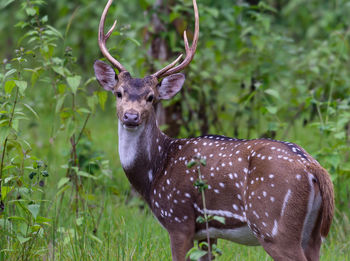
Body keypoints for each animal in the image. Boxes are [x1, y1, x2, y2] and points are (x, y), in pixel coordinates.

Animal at [94, 0, 334, 260]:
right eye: (119, 93)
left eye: (151, 97)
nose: (131, 116)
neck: (154, 171)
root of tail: (313, 167)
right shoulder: (206, 231)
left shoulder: (178, 218)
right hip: (313, 235)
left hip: (274, 227)